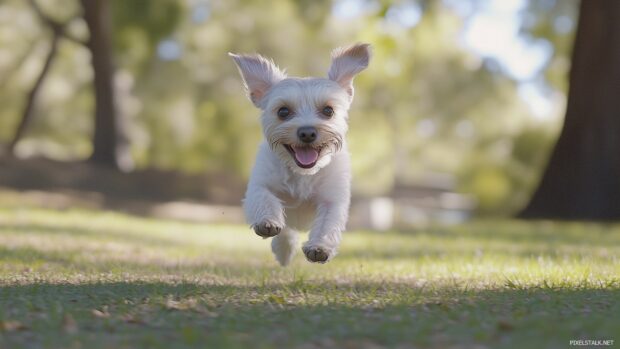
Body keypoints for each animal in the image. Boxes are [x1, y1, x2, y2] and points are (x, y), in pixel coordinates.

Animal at [230, 44, 370, 266]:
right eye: (283, 111)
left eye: (328, 110)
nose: (307, 132)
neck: (302, 173)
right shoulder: (260, 185)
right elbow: (264, 198)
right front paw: (267, 222)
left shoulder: (332, 199)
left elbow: (327, 224)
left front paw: (320, 248)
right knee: (287, 229)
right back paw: (284, 250)